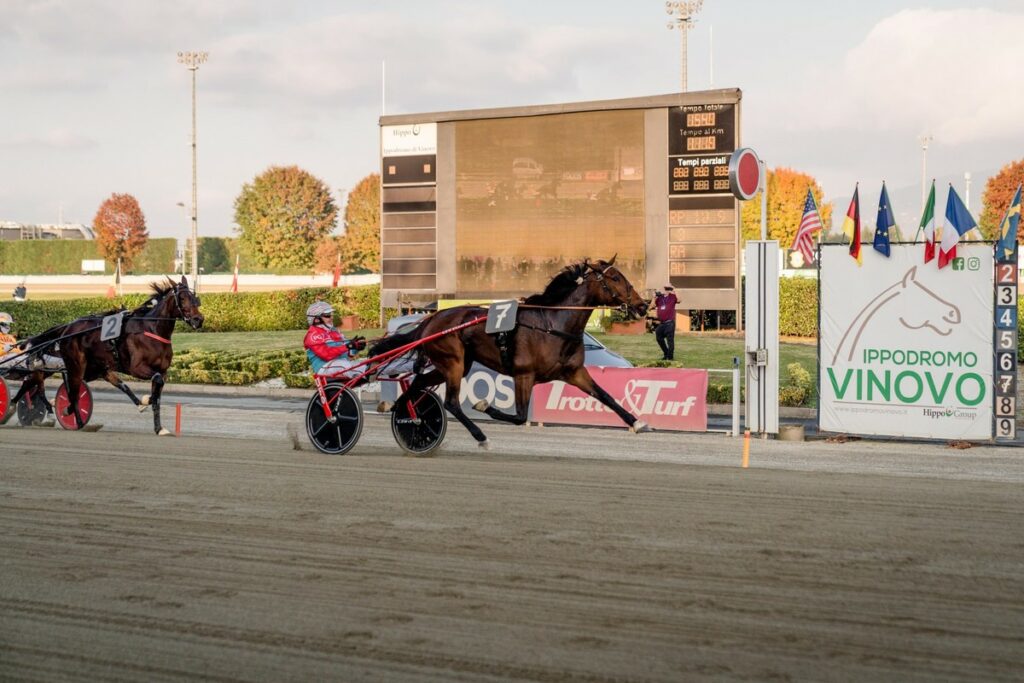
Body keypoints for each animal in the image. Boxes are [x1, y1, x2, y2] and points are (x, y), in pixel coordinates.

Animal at [24, 276, 203, 432]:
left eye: (195, 298)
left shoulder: (162, 371)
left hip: (97, 368)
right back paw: (71, 416)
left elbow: (157, 393)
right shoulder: (136, 368)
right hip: (76, 365)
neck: (151, 329)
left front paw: (159, 428)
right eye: (182, 298)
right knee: (71, 391)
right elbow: (156, 383)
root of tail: (67, 328)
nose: (198, 319)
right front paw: (148, 400)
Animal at [372, 255, 651, 448]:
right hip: (453, 362)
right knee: (451, 402)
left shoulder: (574, 372)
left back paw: (402, 412)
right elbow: (518, 416)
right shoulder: (524, 375)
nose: (642, 305)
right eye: (615, 278)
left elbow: (606, 396)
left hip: (454, 364)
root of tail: (431, 320)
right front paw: (484, 405)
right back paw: (480, 436)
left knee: (418, 383)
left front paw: (638, 422)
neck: (552, 325)